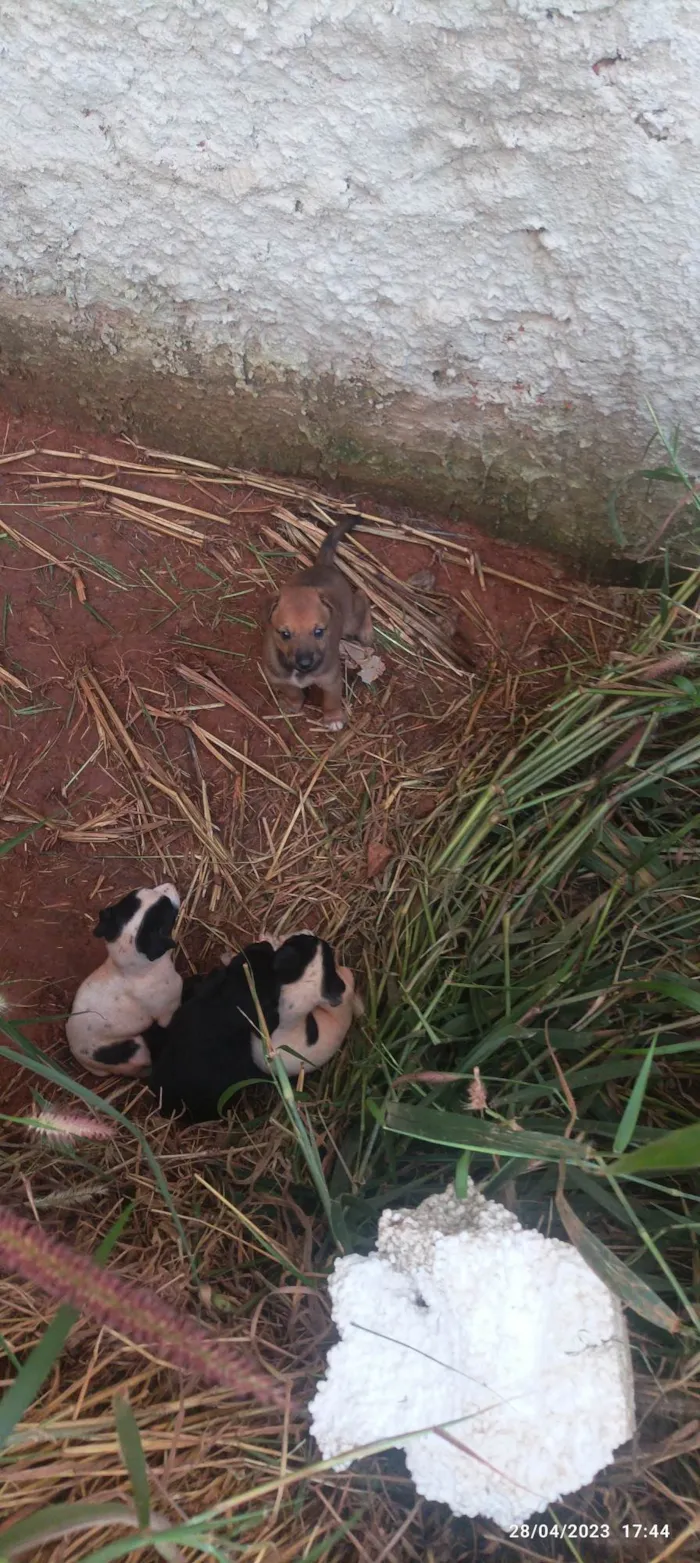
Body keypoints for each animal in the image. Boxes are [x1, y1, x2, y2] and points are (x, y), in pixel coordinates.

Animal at [260, 515, 371, 728]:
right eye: (285, 634)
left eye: (319, 632)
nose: (305, 663)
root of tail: (324, 566)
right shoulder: (279, 677)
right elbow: (292, 691)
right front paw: (293, 704)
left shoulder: (331, 679)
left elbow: (331, 700)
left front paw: (333, 718)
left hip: (350, 622)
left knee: (362, 595)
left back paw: (367, 632)